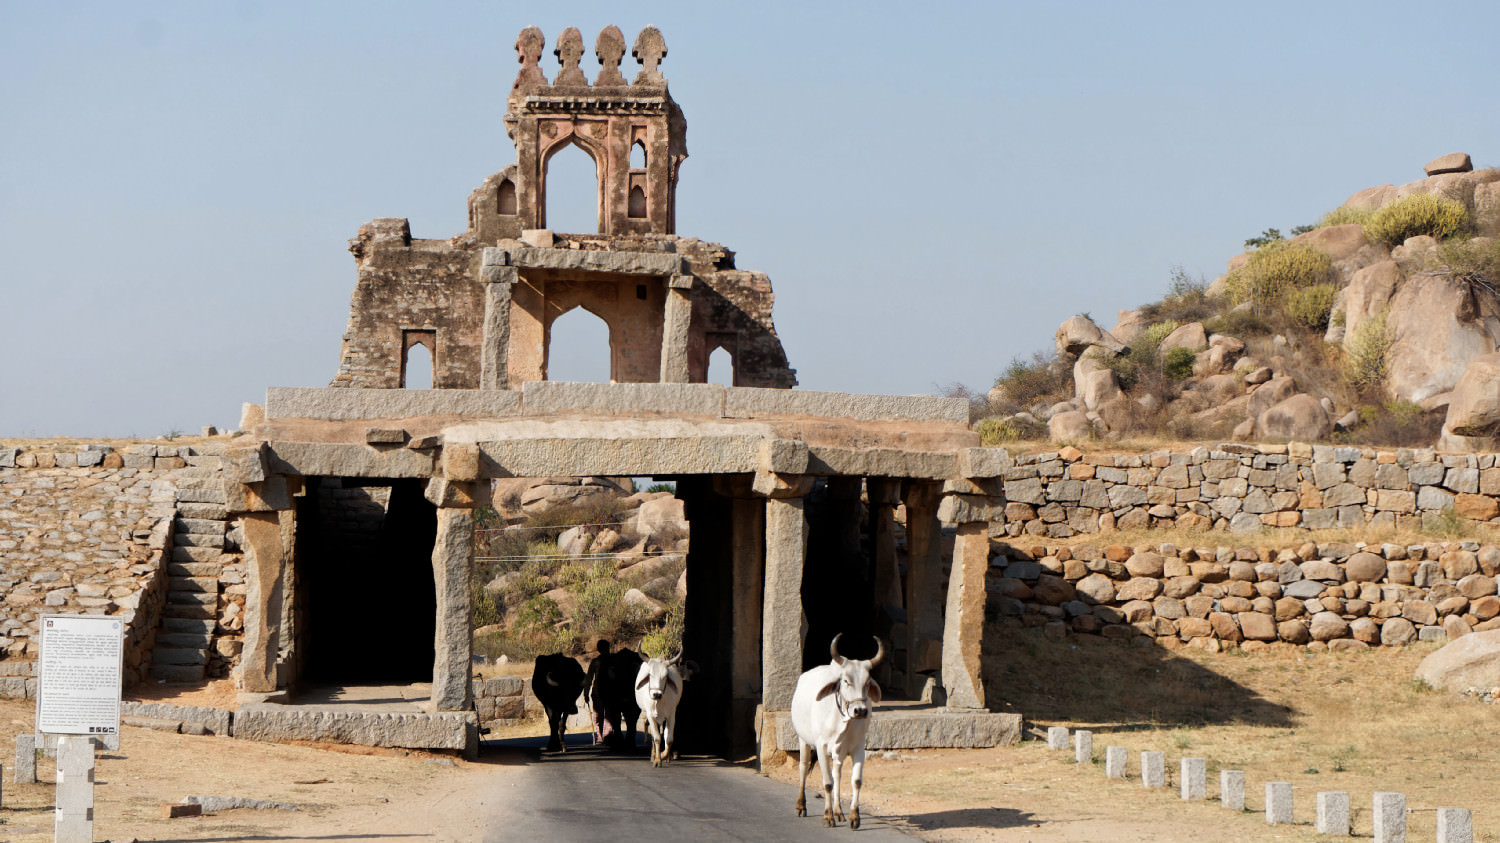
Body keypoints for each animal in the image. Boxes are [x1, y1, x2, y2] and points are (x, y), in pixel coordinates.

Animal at [792, 633, 882, 822]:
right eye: (846, 681)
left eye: (867, 682)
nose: (860, 711)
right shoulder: (821, 746)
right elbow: (827, 783)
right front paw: (828, 816)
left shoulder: (858, 748)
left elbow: (856, 781)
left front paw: (854, 816)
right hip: (803, 739)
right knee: (803, 768)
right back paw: (801, 806)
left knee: (837, 774)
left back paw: (839, 810)